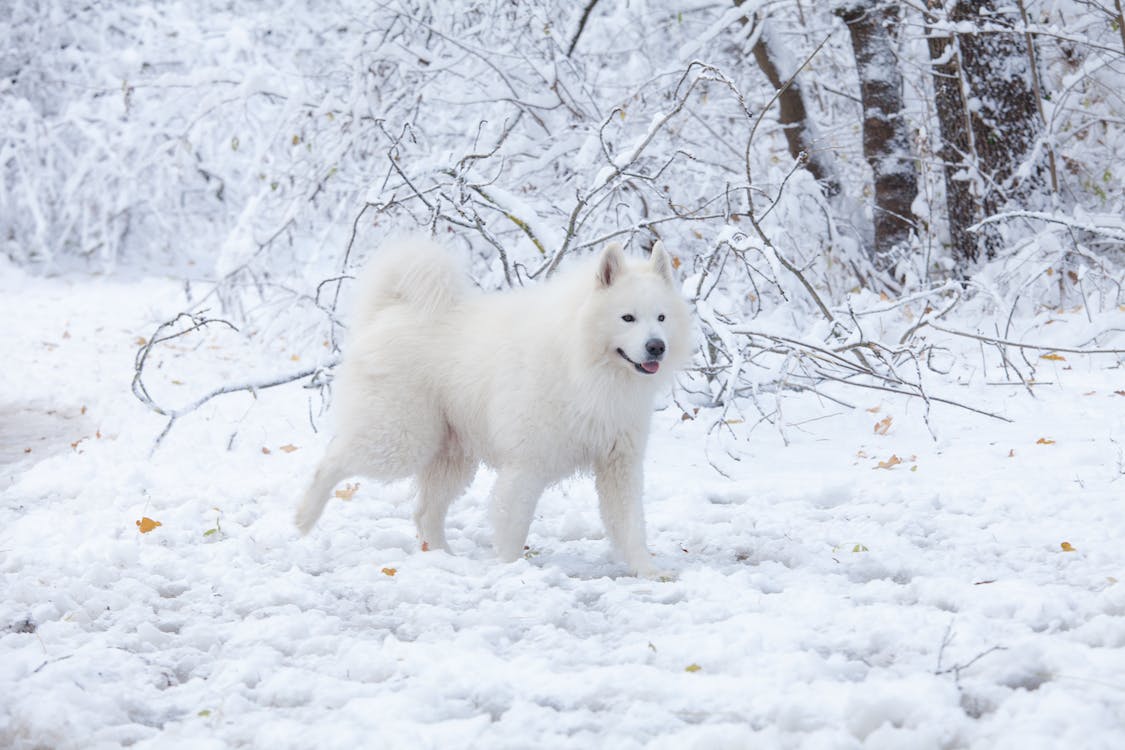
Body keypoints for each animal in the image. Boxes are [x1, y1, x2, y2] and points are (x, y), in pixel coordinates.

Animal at [294, 237, 688, 580]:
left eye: (661, 318)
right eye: (627, 318)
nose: (656, 347)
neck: (585, 365)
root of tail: (389, 310)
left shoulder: (618, 463)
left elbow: (631, 524)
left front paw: (649, 571)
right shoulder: (527, 465)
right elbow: (514, 524)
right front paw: (512, 569)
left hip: (451, 457)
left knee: (424, 512)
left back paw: (444, 558)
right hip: (401, 439)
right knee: (333, 460)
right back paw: (304, 518)